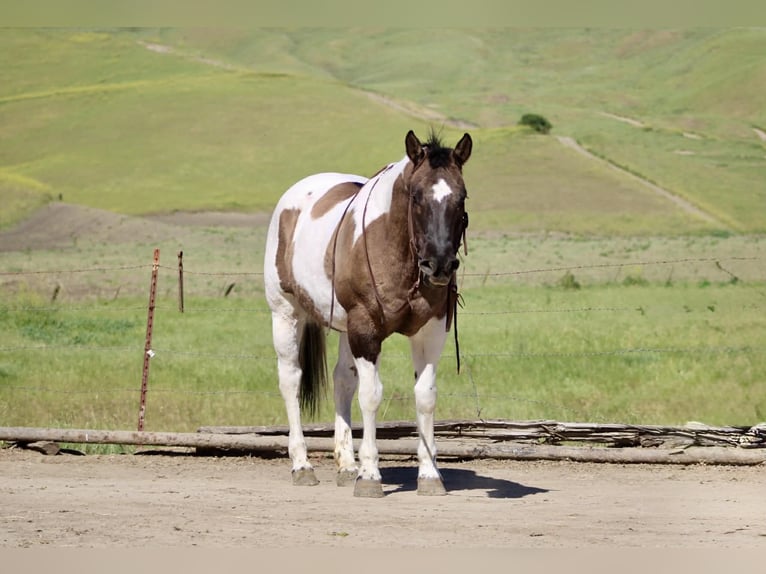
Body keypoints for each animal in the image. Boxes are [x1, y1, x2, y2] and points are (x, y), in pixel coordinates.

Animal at [264, 130, 472, 497]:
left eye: (461, 197)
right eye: (416, 196)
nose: (440, 265)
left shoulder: (431, 331)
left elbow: (425, 397)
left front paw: (429, 475)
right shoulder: (366, 329)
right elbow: (371, 396)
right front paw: (370, 475)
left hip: (346, 329)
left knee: (342, 381)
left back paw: (347, 466)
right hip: (286, 314)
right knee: (290, 380)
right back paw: (302, 465)